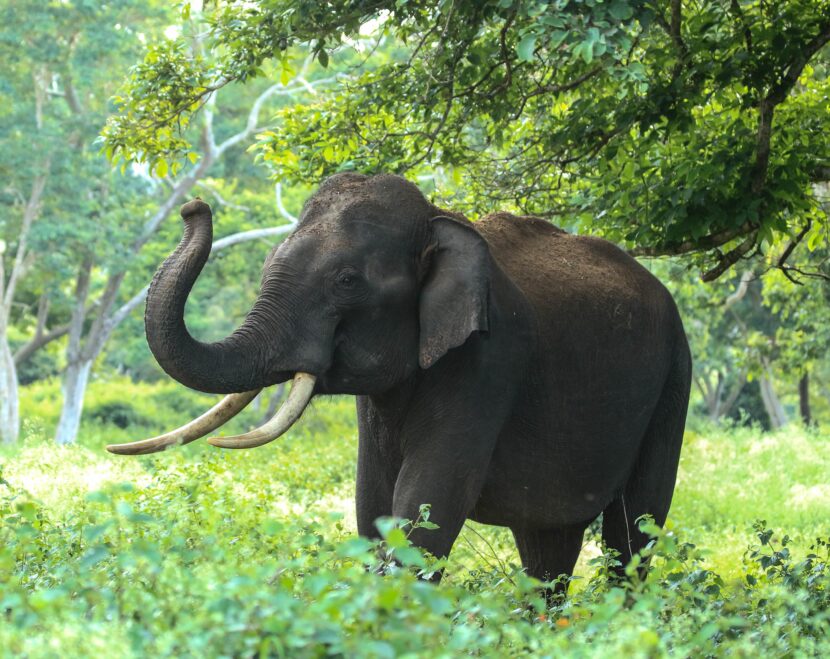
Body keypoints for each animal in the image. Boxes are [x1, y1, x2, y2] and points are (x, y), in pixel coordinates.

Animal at [110, 173, 696, 592]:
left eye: (347, 281)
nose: (193, 206)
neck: (439, 220)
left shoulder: (489, 361)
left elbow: (426, 505)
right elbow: (374, 504)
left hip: (675, 380)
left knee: (634, 531)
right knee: (547, 547)